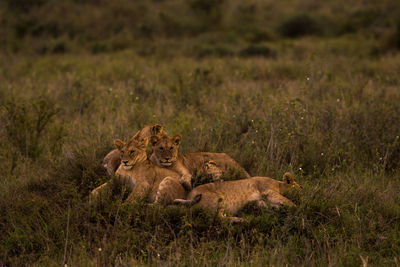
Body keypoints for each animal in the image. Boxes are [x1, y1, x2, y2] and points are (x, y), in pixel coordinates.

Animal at [173, 173, 302, 223]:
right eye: (299, 187)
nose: (303, 193)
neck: (279, 184)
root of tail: (188, 196)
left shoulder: (260, 200)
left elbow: (271, 206)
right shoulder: (268, 191)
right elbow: (287, 200)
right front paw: (297, 209)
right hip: (219, 198)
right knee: (219, 218)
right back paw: (241, 219)